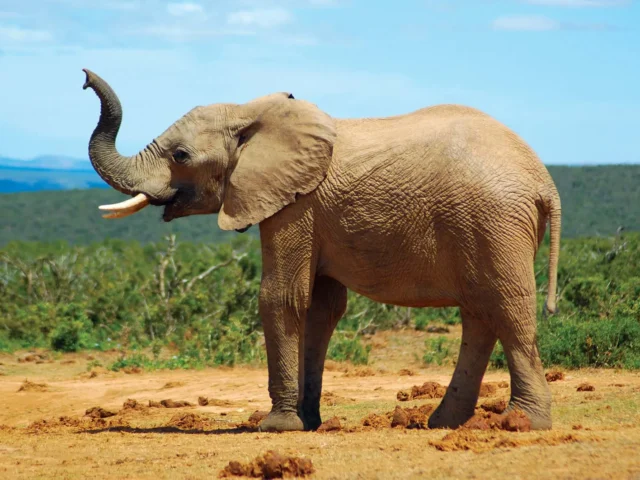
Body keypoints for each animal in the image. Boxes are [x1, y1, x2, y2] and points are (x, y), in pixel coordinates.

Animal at [81, 69, 561, 432]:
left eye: (180, 155)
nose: (84, 78)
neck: (251, 114)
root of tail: (544, 182)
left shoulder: (296, 204)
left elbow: (281, 297)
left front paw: (275, 427)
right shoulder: (309, 210)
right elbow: (320, 307)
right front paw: (306, 423)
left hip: (494, 221)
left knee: (506, 306)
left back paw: (522, 423)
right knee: (479, 312)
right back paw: (443, 423)